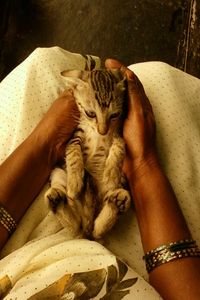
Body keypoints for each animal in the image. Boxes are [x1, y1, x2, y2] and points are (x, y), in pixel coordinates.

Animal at [45, 68, 131, 239]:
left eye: (115, 115)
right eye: (90, 113)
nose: (103, 131)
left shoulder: (119, 135)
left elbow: (119, 148)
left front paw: (111, 174)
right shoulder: (75, 135)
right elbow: (73, 152)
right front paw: (74, 182)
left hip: (122, 183)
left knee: (98, 230)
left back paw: (117, 203)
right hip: (57, 172)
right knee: (76, 227)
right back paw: (57, 200)